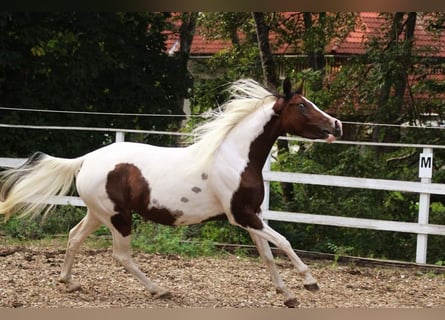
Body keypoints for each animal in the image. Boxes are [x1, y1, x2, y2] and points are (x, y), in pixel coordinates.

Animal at [0, 78, 342, 308]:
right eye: (302, 105)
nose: (337, 125)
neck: (235, 157)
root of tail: (86, 160)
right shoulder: (242, 216)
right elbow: (283, 242)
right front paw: (310, 283)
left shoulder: (252, 216)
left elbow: (268, 255)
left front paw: (287, 295)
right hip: (118, 218)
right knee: (120, 255)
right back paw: (159, 290)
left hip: (99, 214)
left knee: (74, 236)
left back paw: (68, 283)